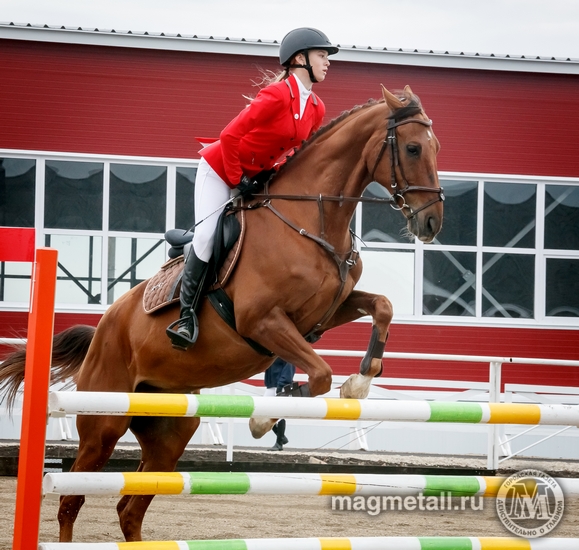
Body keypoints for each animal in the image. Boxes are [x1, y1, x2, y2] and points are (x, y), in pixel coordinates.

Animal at [1, 84, 444, 540]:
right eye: (412, 148)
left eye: (436, 148)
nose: (431, 223)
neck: (312, 220)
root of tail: (103, 328)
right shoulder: (261, 321)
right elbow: (319, 374)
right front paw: (265, 420)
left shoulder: (323, 313)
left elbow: (382, 306)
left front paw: (359, 381)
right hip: (103, 422)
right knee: (70, 500)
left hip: (170, 429)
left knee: (129, 507)